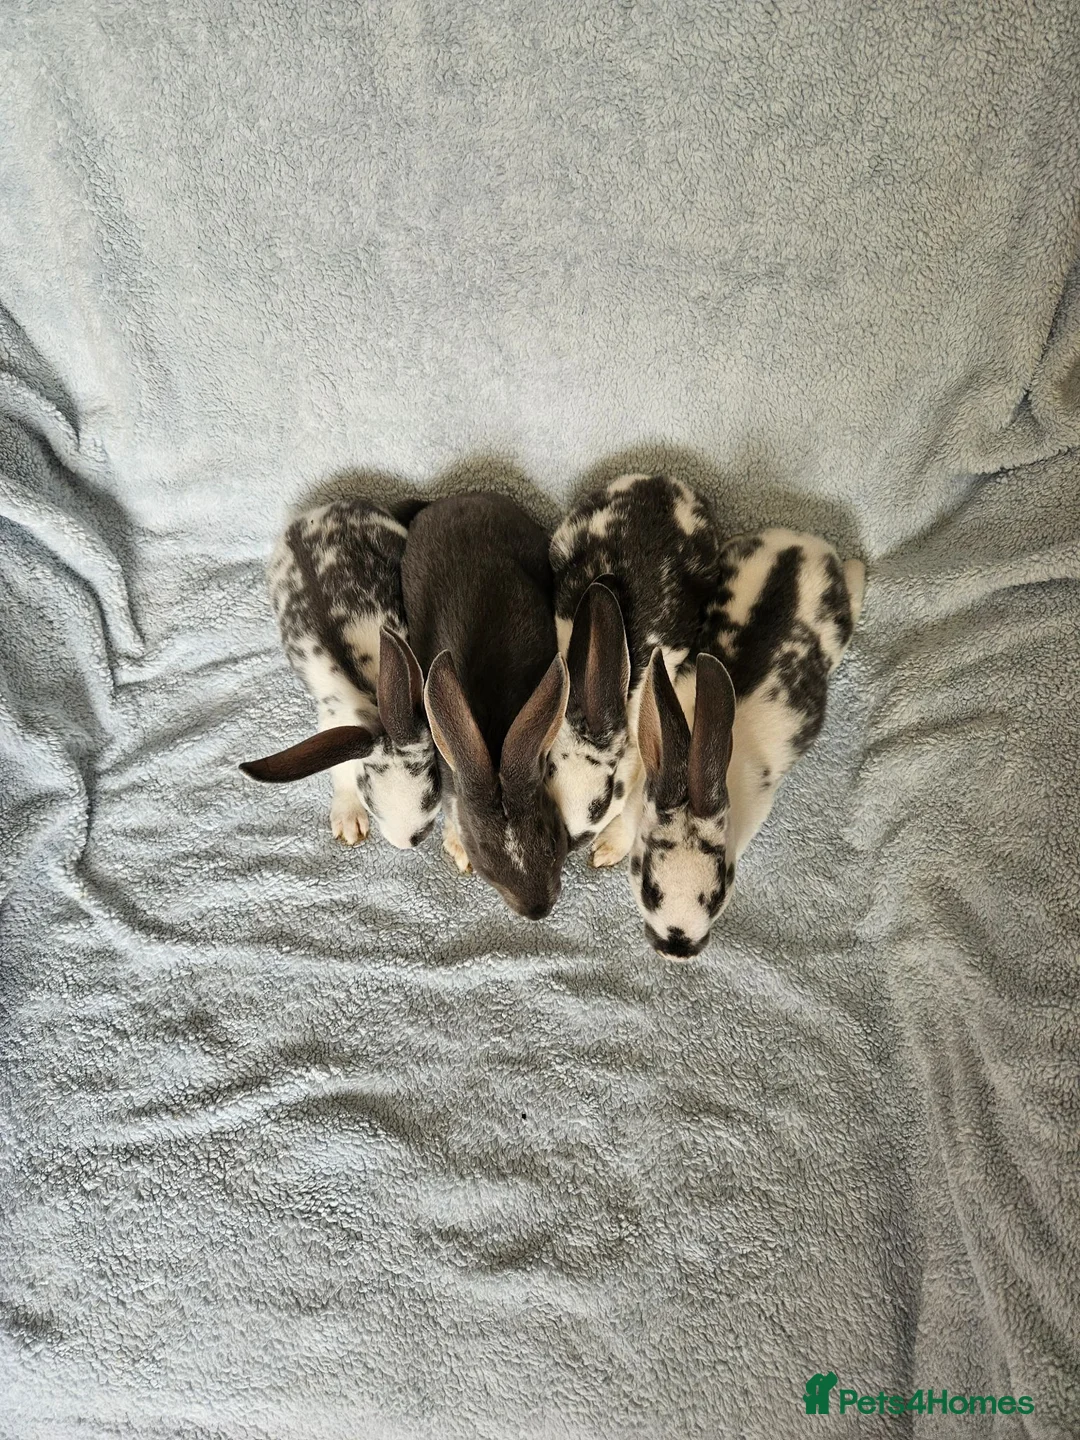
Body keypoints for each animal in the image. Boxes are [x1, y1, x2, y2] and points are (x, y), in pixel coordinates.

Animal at [239, 499, 440, 850]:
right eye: (370, 799)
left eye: (432, 789)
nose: (408, 842)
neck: (370, 696)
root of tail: (314, 514)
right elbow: (341, 773)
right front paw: (349, 825)